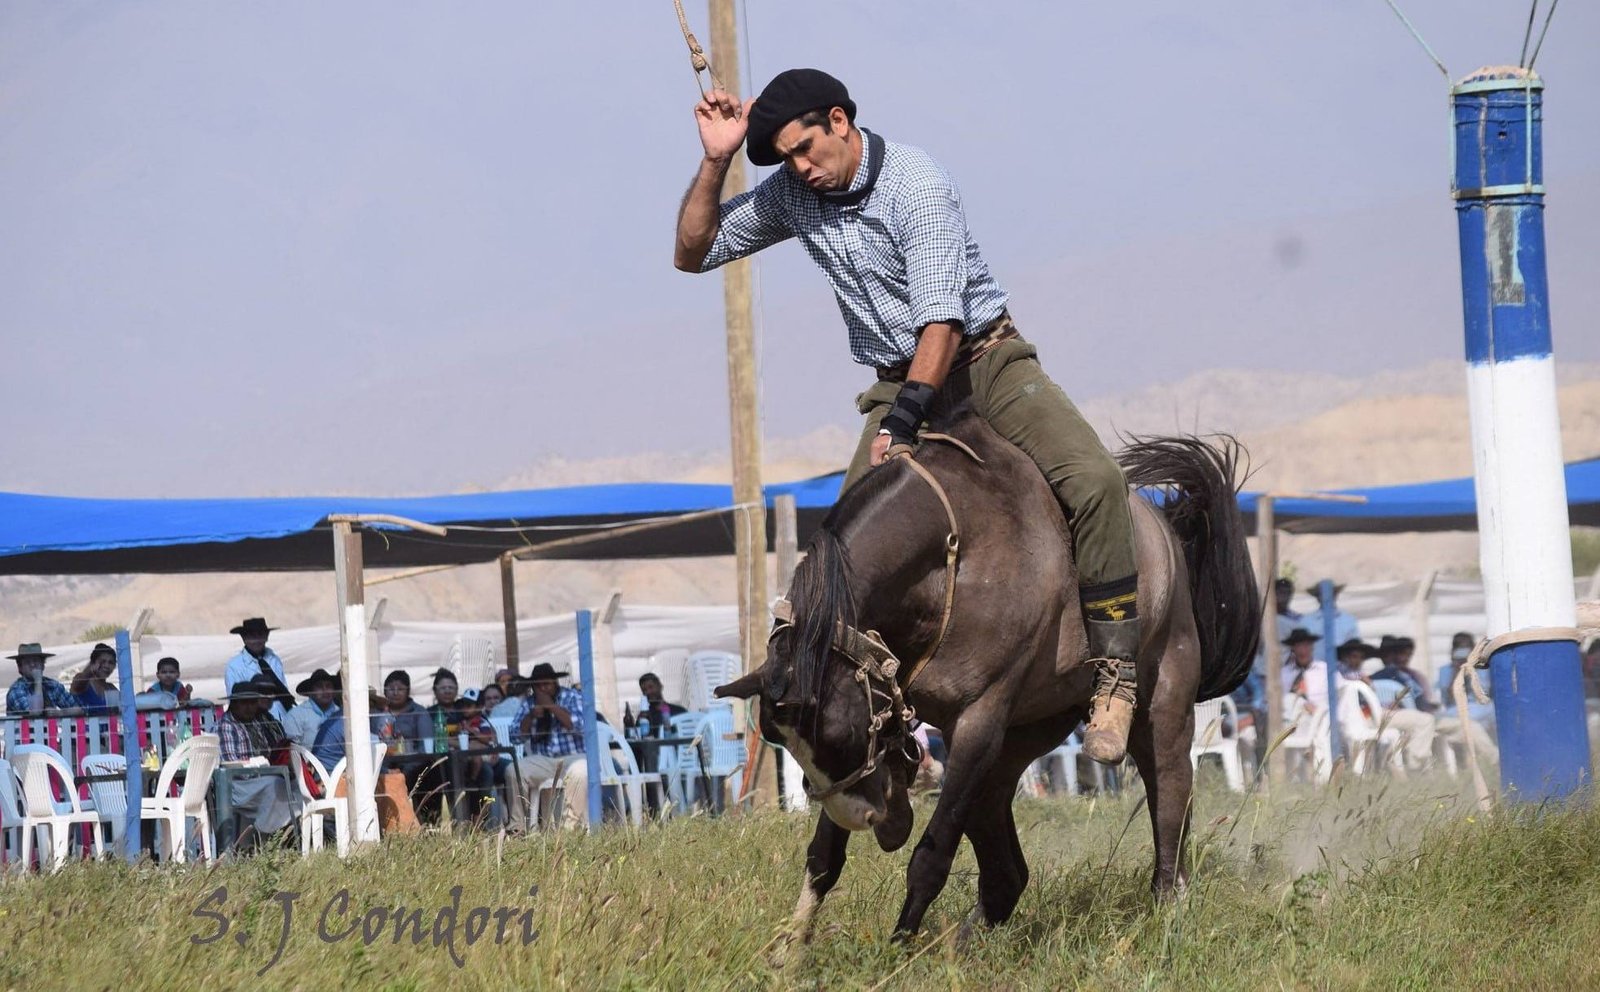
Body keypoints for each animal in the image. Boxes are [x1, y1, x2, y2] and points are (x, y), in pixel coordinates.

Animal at [716, 406, 1260, 947]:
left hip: (1162, 709)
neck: (953, 557)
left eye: (838, 733)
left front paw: (898, 951)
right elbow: (824, 856)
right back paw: (961, 942)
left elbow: (930, 856)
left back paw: (1167, 913)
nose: (865, 818)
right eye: (781, 740)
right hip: (1016, 745)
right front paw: (791, 948)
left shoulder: (977, 722)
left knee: (1169, 812)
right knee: (1005, 874)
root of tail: (1166, 538)